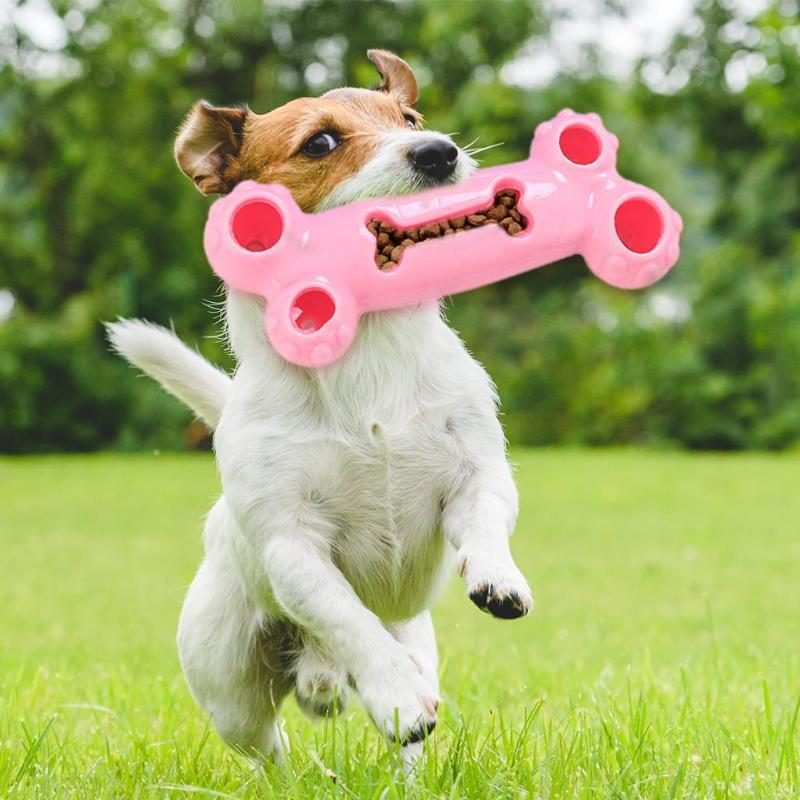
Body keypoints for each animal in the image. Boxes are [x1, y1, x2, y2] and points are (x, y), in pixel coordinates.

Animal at [106, 50, 532, 764]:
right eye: (321, 143)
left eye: (409, 117)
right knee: (271, 747)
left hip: (414, 638)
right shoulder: (292, 545)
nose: (439, 151)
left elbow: (484, 521)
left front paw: (497, 577)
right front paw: (392, 690)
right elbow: (345, 615)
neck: (368, 347)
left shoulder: (477, 472)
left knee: (404, 727)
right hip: (231, 689)